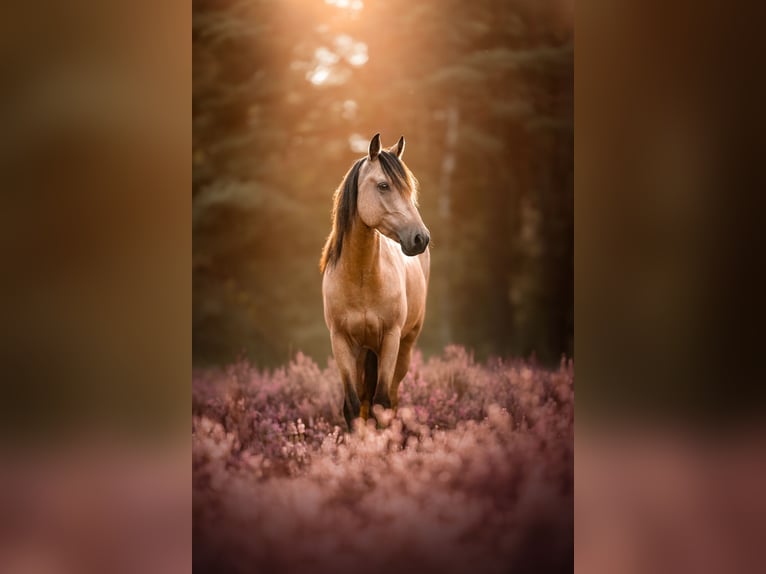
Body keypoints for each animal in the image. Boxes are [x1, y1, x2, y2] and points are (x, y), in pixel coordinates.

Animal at [320, 133, 430, 431]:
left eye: (409, 190)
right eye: (383, 185)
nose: (421, 238)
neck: (360, 278)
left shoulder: (390, 339)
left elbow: (382, 404)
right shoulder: (341, 342)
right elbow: (352, 406)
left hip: (405, 347)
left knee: (392, 398)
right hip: (362, 352)